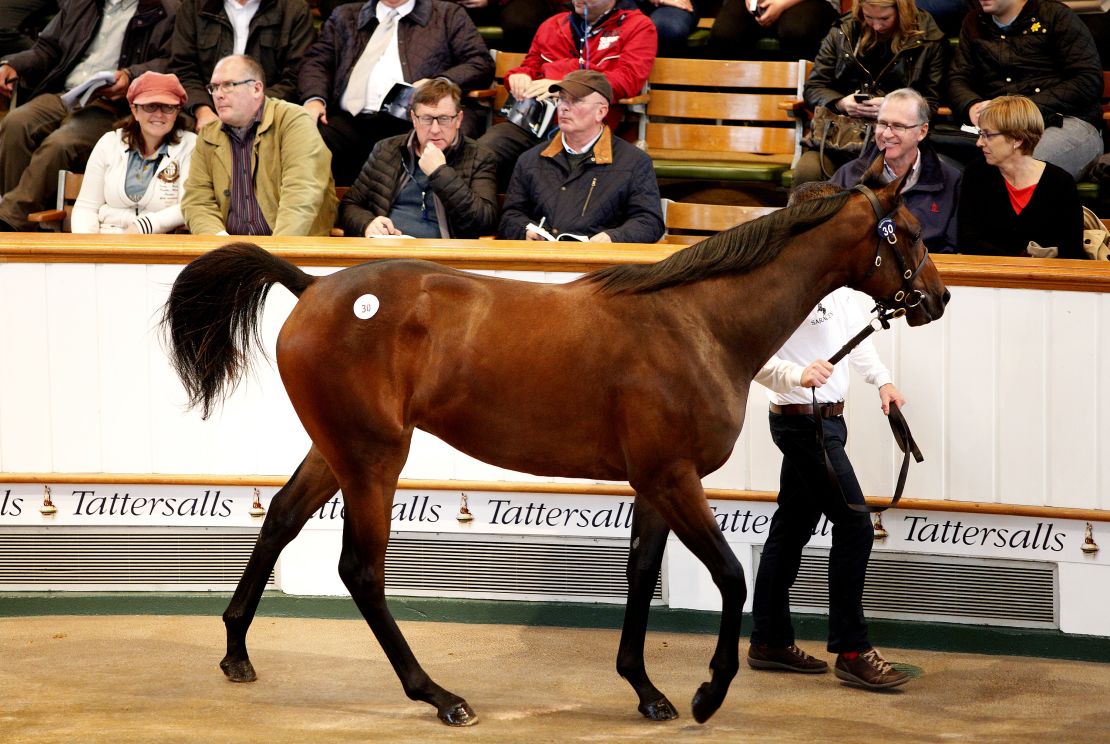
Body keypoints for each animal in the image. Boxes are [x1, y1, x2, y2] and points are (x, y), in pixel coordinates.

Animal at [160, 173, 950, 728]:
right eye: (908, 232)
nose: (937, 299)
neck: (699, 323)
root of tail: (314, 284)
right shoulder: (675, 478)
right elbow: (731, 578)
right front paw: (706, 693)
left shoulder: (655, 484)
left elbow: (641, 578)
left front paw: (647, 690)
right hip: (374, 459)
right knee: (360, 569)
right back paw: (439, 696)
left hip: (339, 451)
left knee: (280, 520)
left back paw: (236, 652)